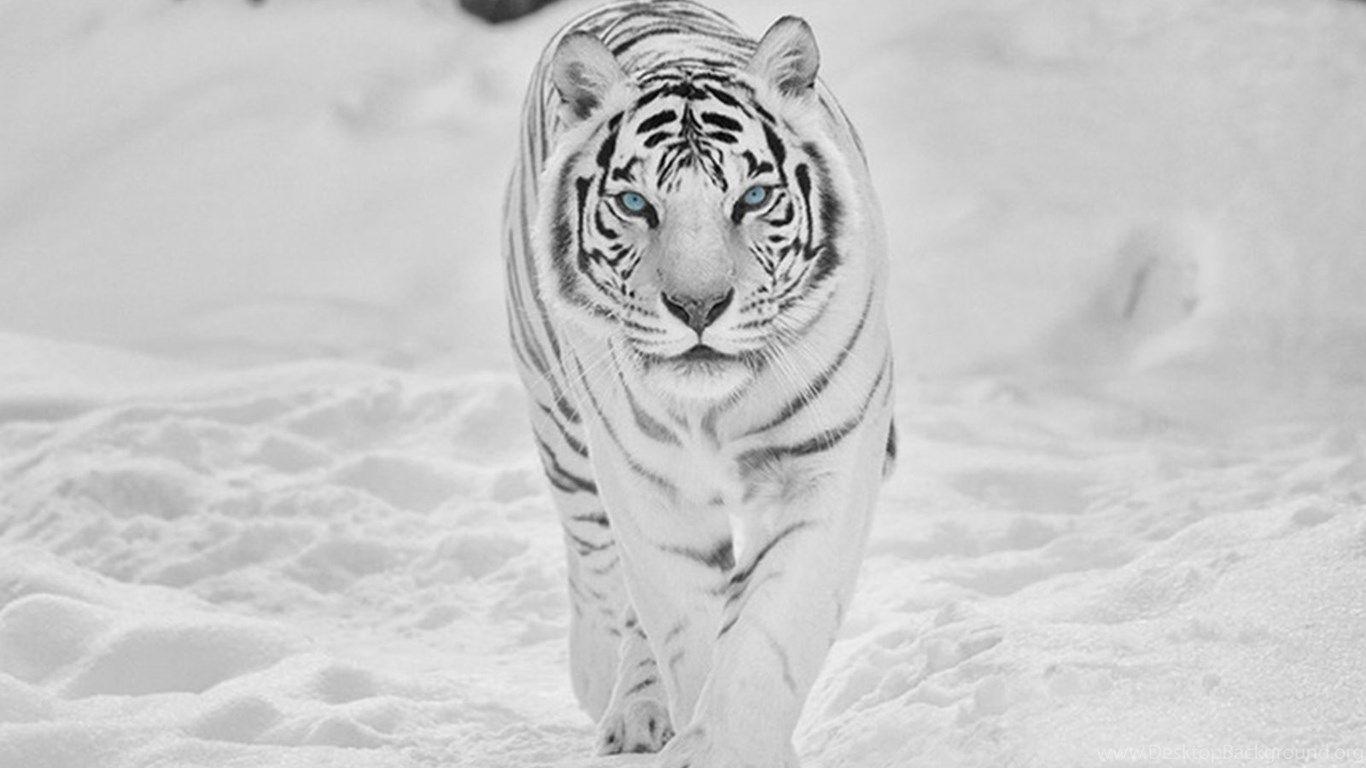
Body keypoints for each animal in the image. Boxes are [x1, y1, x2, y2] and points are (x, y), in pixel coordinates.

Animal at [501, 1, 895, 765]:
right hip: (560, 420)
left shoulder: (820, 468)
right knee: (596, 562)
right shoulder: (650, 486)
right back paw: (615, 695)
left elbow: (766, 638)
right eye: (634, 203)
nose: (698, 306)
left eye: (754, 197)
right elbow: (683, 623)